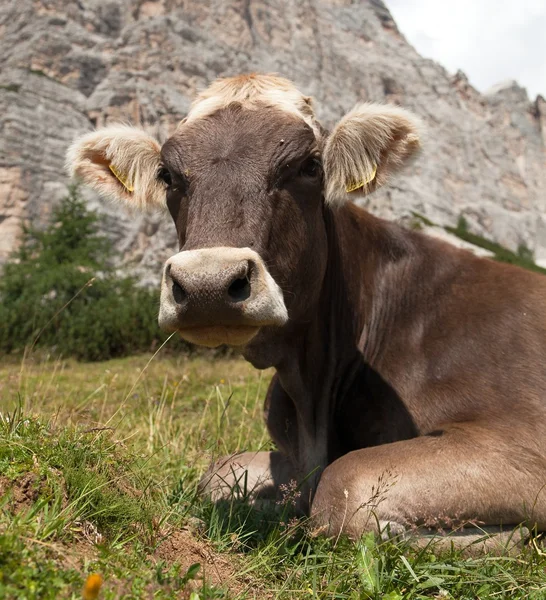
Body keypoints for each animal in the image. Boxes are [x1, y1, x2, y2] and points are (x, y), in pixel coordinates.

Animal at [68, 72, 544, 540]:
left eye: (310, 166)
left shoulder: (520, 438)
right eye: (167, 175)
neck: (313, 388)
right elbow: (221, 472)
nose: (208, 284)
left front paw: (509, 537)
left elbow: (342, 486)